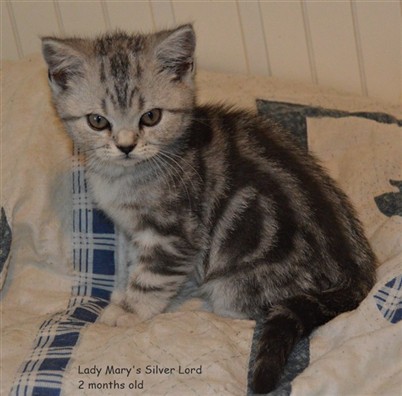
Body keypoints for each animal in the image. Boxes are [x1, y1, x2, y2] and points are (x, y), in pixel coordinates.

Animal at [42, 24, 376, 392]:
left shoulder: (175, 233)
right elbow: (135, 263)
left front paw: (128, 312)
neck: (130, 174)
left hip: (238, 281)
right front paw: (127, 292)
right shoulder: (136, 232)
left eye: (151, 117)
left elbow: (151, 278)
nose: (126, 146)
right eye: (98, 121)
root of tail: (356, 274)